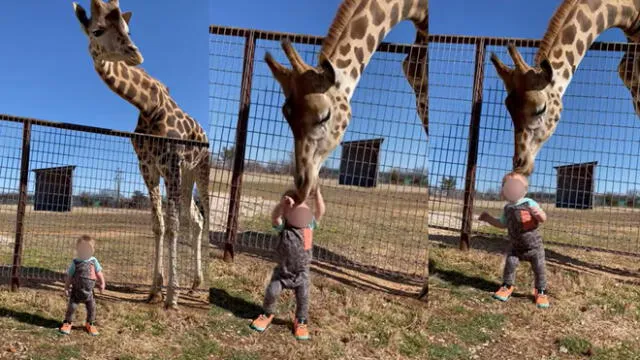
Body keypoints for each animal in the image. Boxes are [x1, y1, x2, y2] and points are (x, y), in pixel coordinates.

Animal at [72, 0, 210, 310]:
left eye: (127, 28)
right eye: (97, 30)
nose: (135, 53)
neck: (148, 107)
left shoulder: (171, 164)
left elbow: (172, 226)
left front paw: (171, 296)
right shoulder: (147, 167)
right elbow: (158, 225)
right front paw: (155, 289)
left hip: (199, 169)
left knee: (202, 214)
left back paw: (200, 284)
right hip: (185, 177)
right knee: (195, 218)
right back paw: (195, 282)